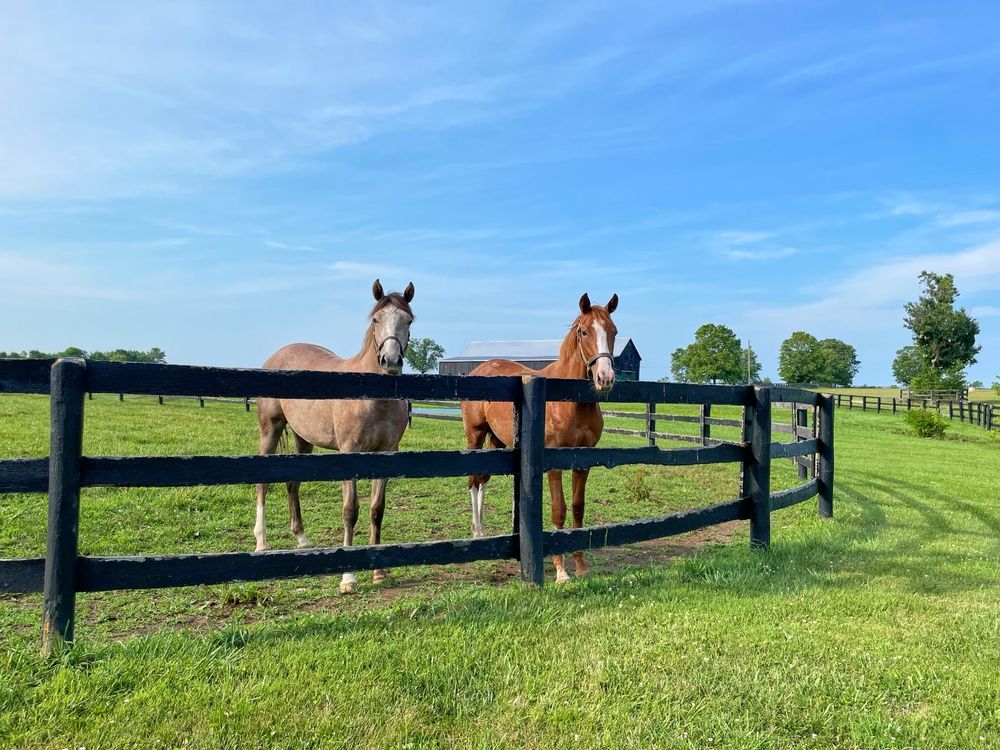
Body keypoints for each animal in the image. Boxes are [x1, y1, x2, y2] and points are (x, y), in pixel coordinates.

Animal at [254, 279, 415, 594]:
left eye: (409, 320)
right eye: (376, 319)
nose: (390, 361)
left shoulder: (387, 453)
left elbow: (377, 510)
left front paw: (379, 571)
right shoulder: (349, 452)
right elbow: (350, 510)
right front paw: (348, 578)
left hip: (303, 439)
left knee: (293, 484)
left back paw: (302, 539)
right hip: (271, 429)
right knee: (262, 483)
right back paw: (261, 542)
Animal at [461, 292, 619, 583]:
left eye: (613, 331)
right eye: (584, 331)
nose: (605, 377)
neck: (569, 400)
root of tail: (479, 370)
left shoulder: (584, 461)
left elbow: (577, 507)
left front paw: (580, 564)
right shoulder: (553, 461)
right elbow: (559, 509)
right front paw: (561, 570)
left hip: (497, 439)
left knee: (484, 479)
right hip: (475, 435)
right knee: (473, 481)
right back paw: (477, 531)